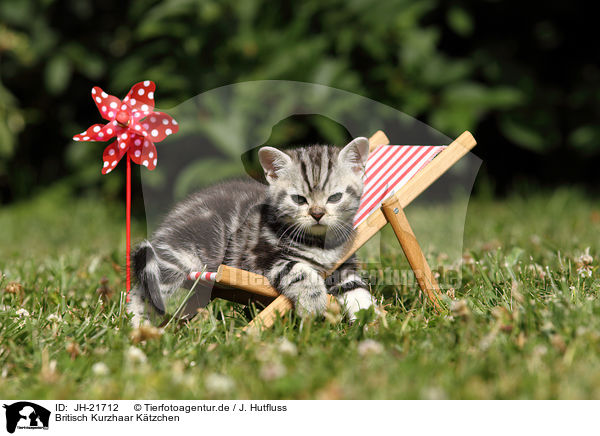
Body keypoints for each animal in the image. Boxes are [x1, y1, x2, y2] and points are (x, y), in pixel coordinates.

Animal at [129, 138, 376, 326]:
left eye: (335, 197)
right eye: (299, 199)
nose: (317, 213)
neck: (319, 243)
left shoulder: (342, 264)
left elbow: (356, 287)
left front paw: (371, 320)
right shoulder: (257, 258)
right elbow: (299, 271)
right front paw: (313, 303)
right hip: (177, 260)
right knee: (143, 292)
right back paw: (137, 327)